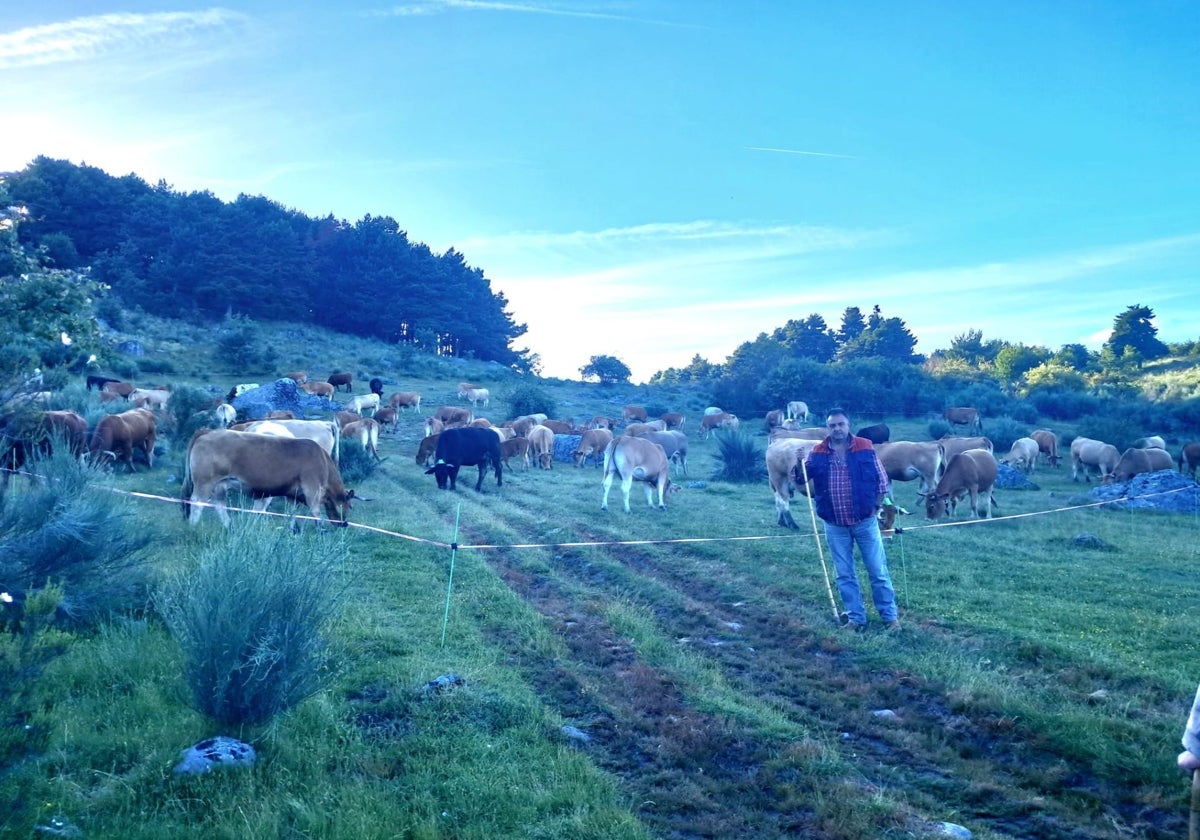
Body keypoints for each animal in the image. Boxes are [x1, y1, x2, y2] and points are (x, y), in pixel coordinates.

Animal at [180, 429, 352, 528]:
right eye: (349, 506)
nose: (344, 524)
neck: (322, 459)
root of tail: (207, 432)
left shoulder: (293, 495)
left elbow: (292, 513)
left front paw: (294, 529)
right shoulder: (312, 488)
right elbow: (315, 511)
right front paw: (321, 530)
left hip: (220, 485)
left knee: (219, 505)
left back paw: (229, 525)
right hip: (204, 482)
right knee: (197, 502)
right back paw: (193, 526)